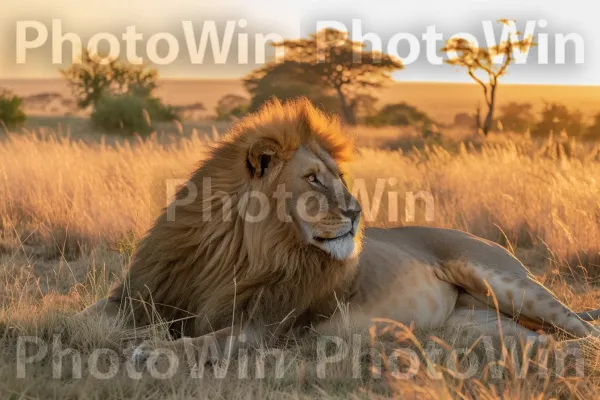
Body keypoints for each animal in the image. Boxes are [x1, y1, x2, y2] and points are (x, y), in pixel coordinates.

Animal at [81, 97, 600, 362]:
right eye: (313, 178)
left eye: (340, 177)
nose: (357, 212)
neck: (238, 250)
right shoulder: (143, 291)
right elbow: (87, 317)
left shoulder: (267, 325)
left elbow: (207, 340)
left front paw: (152, 348)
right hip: (478, 325)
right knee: (539, 338)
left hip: (508, 281)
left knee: (584, 330)